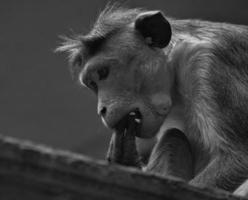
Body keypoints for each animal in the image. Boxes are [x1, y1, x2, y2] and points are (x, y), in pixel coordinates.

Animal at [57, 4, 248, 197]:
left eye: (103, 72)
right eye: (92, 84)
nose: (101, 110)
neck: (175, 66)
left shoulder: (209, 64)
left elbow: (238, 159)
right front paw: (128, 162)